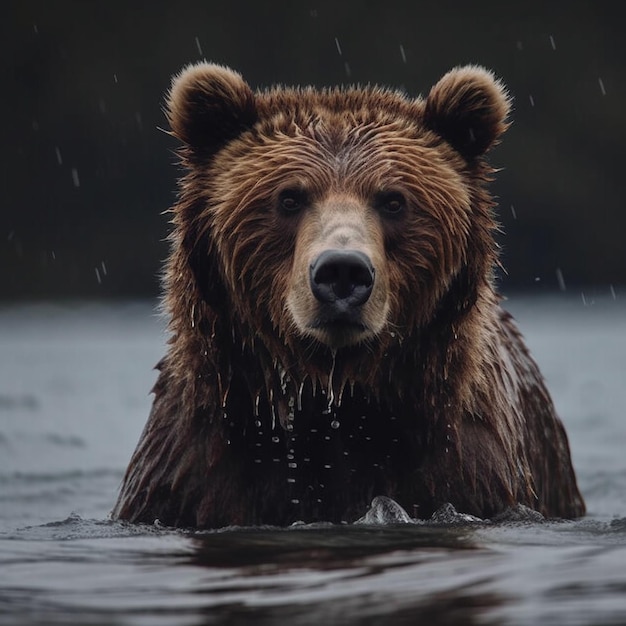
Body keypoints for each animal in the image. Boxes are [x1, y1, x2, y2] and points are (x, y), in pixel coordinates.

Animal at [112, 61, 584, 528]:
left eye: (394, 201)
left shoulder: (467, 469)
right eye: (289, 198)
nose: (342, 271)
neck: (335, 404)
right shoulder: (193, 470)